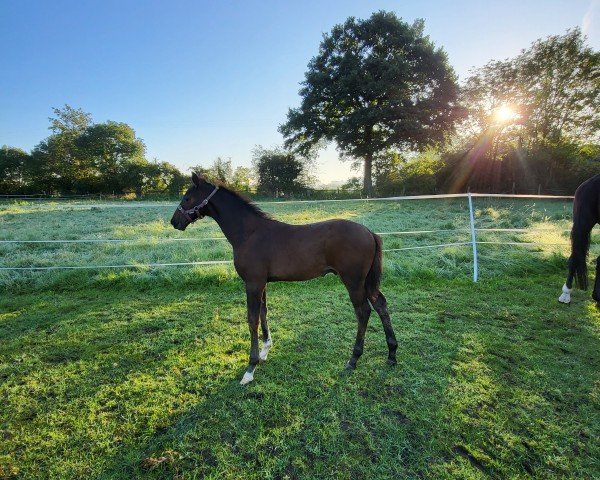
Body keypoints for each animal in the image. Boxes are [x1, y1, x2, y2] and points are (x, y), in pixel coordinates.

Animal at [171, 174, 396, 384]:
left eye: (187, 197)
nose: (174, 222)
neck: (250, 233)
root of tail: (369, 232)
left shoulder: (252, 284)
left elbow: (252, 320)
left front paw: (250, 368)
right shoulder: (261, 283)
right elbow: (264, 314)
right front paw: (264, 351)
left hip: (354, 281)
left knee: (363, 312)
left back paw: (353, 360)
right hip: (367, 282)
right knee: (381, 305)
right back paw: (392, 354)